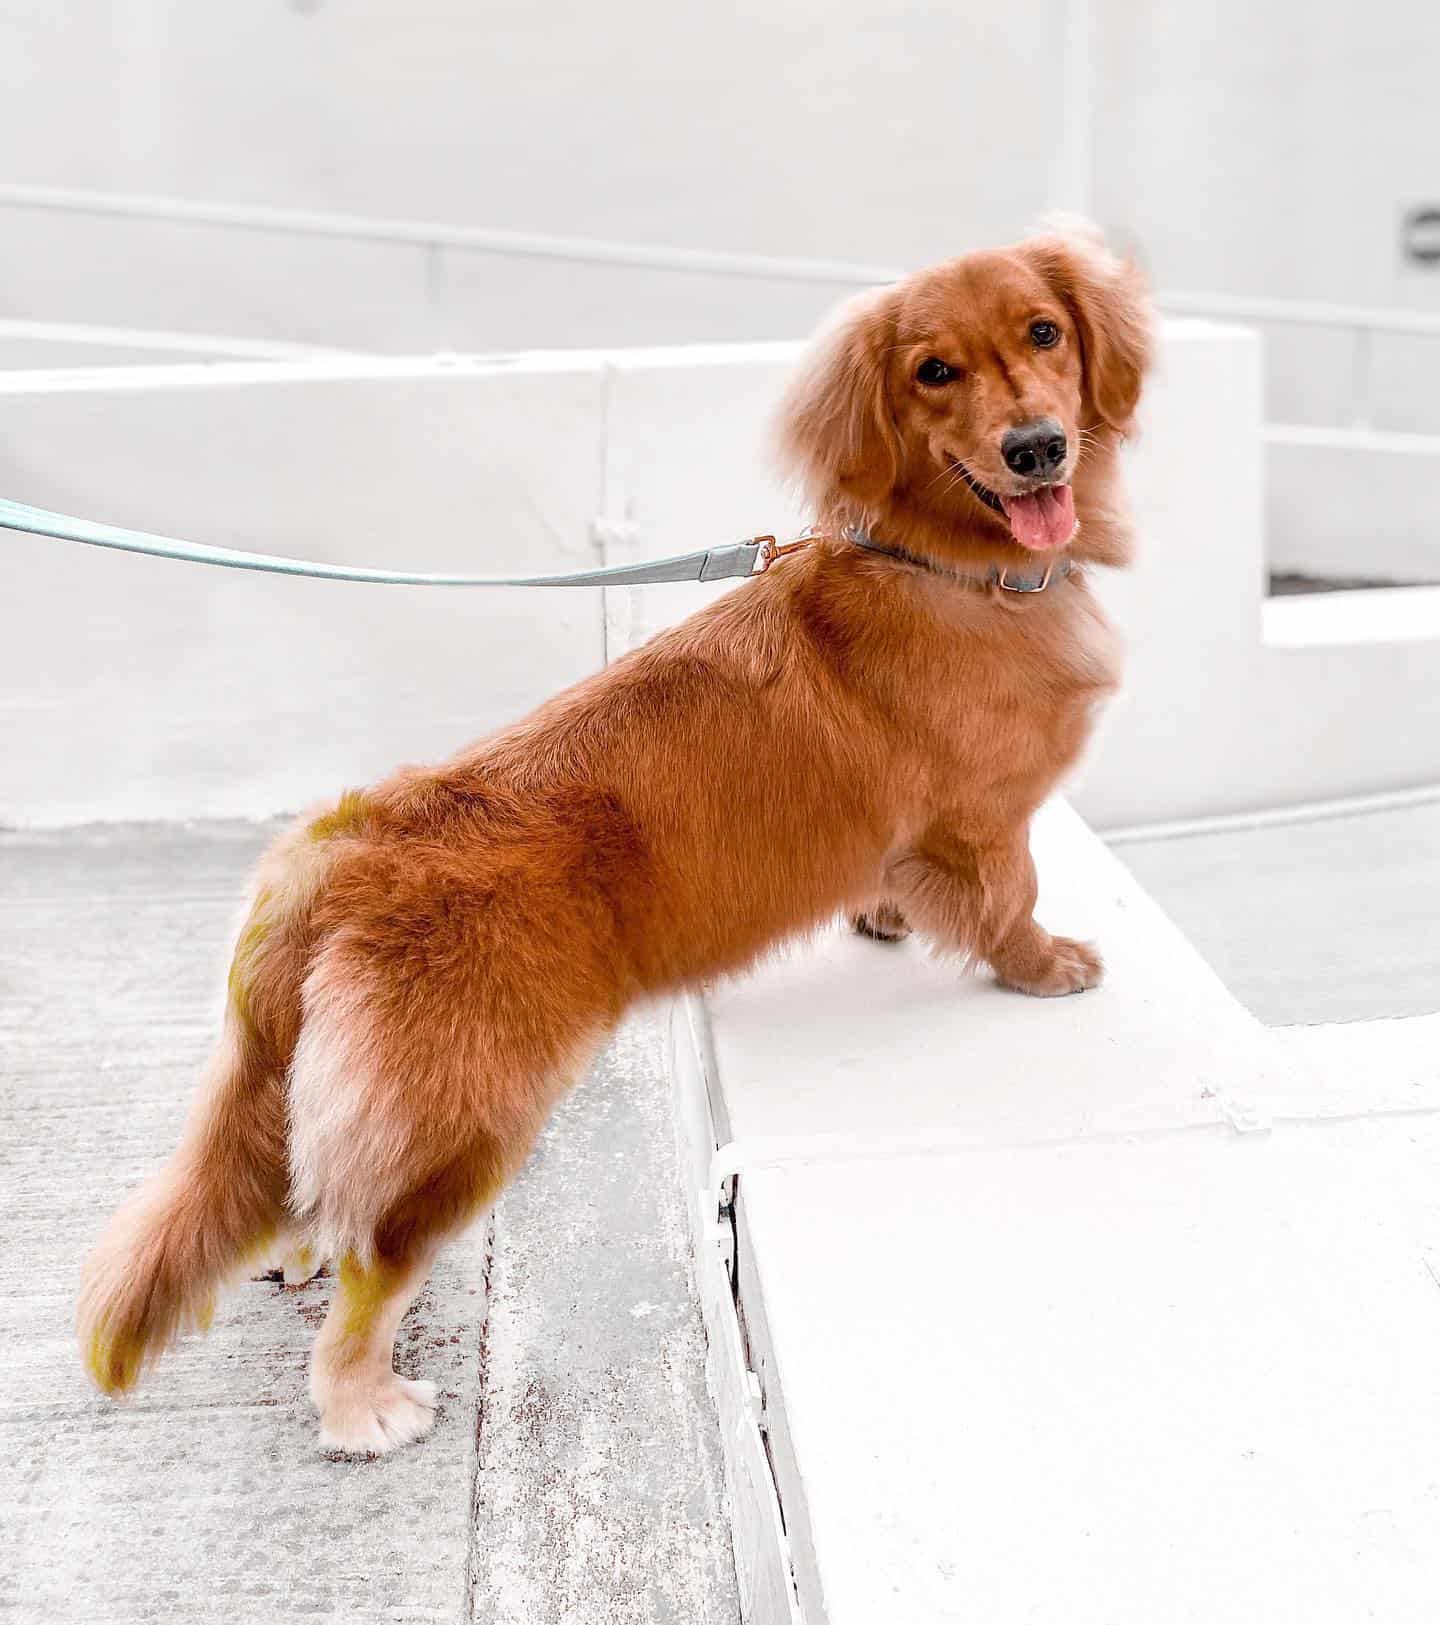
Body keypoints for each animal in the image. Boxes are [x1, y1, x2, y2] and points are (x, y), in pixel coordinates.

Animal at [78, 222, 1157, 1456]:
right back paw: (365, 1405)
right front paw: (1047, 965)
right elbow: (1009, 900)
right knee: (371, 1270)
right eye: (935, 372)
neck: (943, 563)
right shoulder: (985, 820)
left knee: (311, 1182)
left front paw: (885, 916)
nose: (1036, 449)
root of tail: (340, 854)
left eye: (1045, 332)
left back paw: (295, 1252)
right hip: (464, 1128)